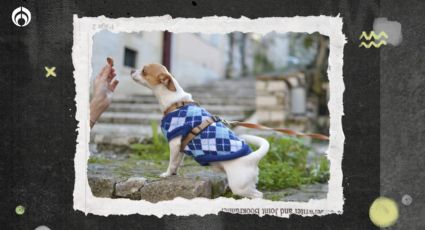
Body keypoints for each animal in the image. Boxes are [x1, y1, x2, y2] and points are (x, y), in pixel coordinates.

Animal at [130, 63, 268, 199]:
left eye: (144, 70)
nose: (131, 70)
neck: (176, 103)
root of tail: (252, 157)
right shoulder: (180, 148)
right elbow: (177, 162)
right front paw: (174, 174)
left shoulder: (174, 144)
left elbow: (172, 162)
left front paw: (167, 174)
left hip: (239, 186)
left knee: (258, 195)